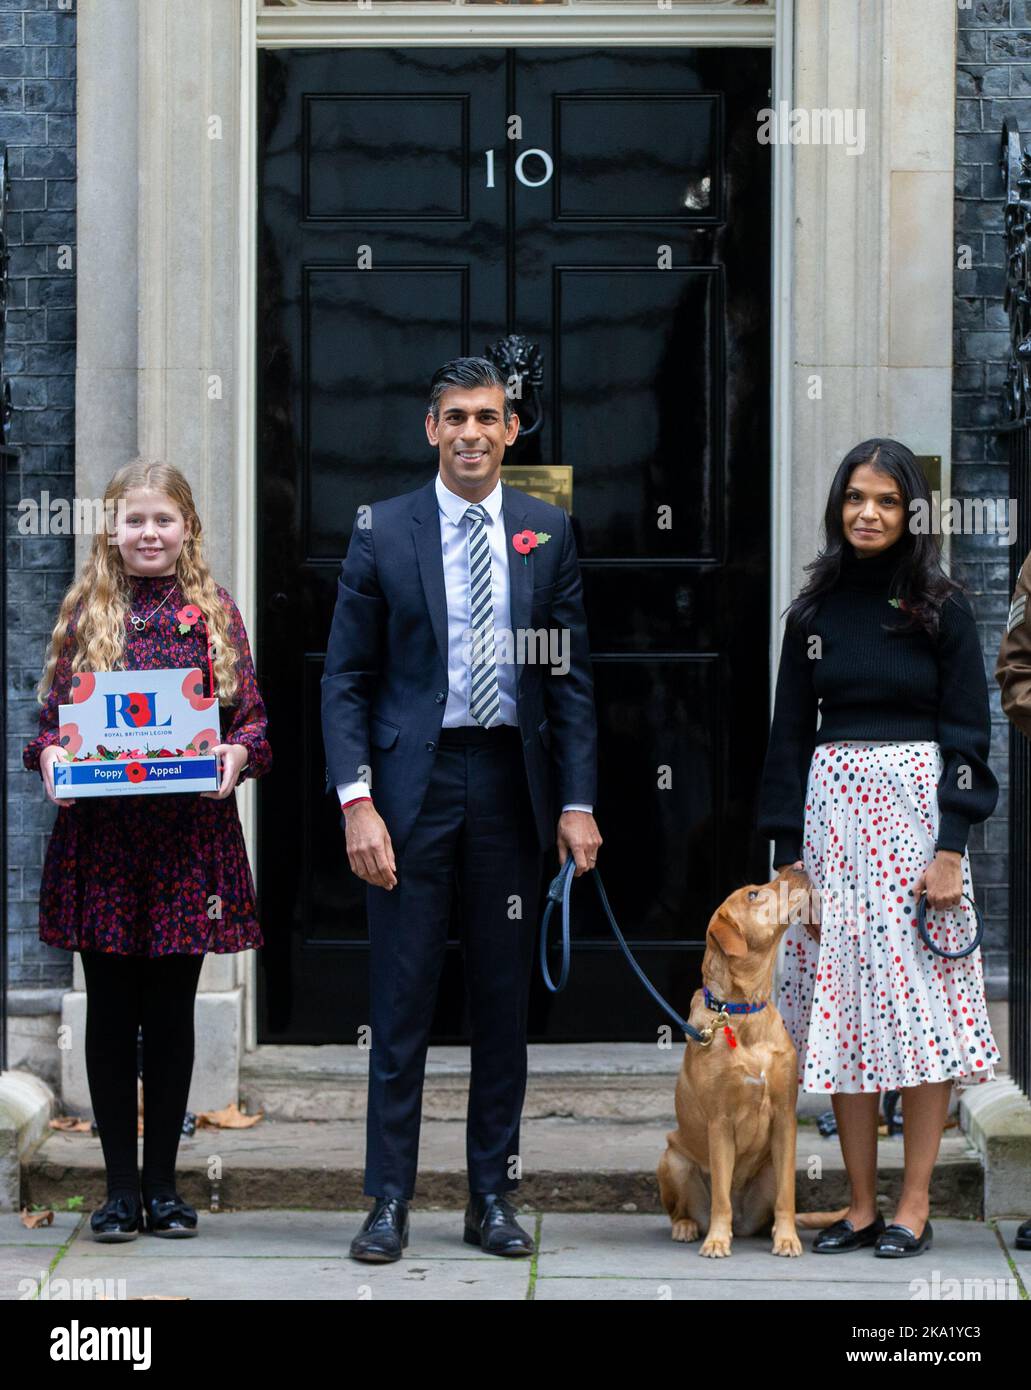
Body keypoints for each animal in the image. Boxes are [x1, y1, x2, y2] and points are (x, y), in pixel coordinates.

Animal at [661, 861, 850, 1256]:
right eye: (753, 894)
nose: (798, 864)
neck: (745, 1010)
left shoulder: (784, 1116)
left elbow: (786, 1197)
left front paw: (787, 1238)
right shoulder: (719, 1122)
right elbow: (720, 1196)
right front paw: (717, 1240)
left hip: (768, 1171)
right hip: (673, 1159)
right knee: (683, 1209)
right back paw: (687, 1227)